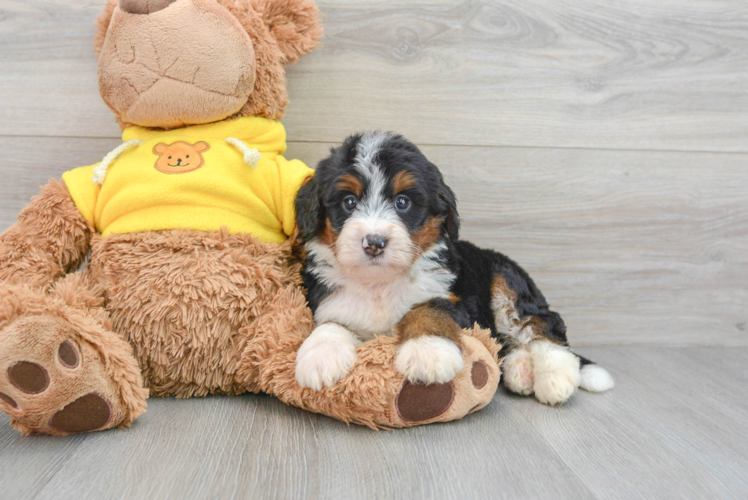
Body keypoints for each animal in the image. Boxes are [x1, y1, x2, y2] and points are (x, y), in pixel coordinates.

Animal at [292, 131, 612, 404]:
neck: (379, 283)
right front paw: (320, 356)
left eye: (402, 202)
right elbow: (332, 321)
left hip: (504, 279)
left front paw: (428, 351)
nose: (374, 243)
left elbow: (428, 309)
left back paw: (556, 377)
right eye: (349, 201)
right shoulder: (328, 299)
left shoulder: (455, 299)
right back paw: (520, 370)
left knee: (541, 324)